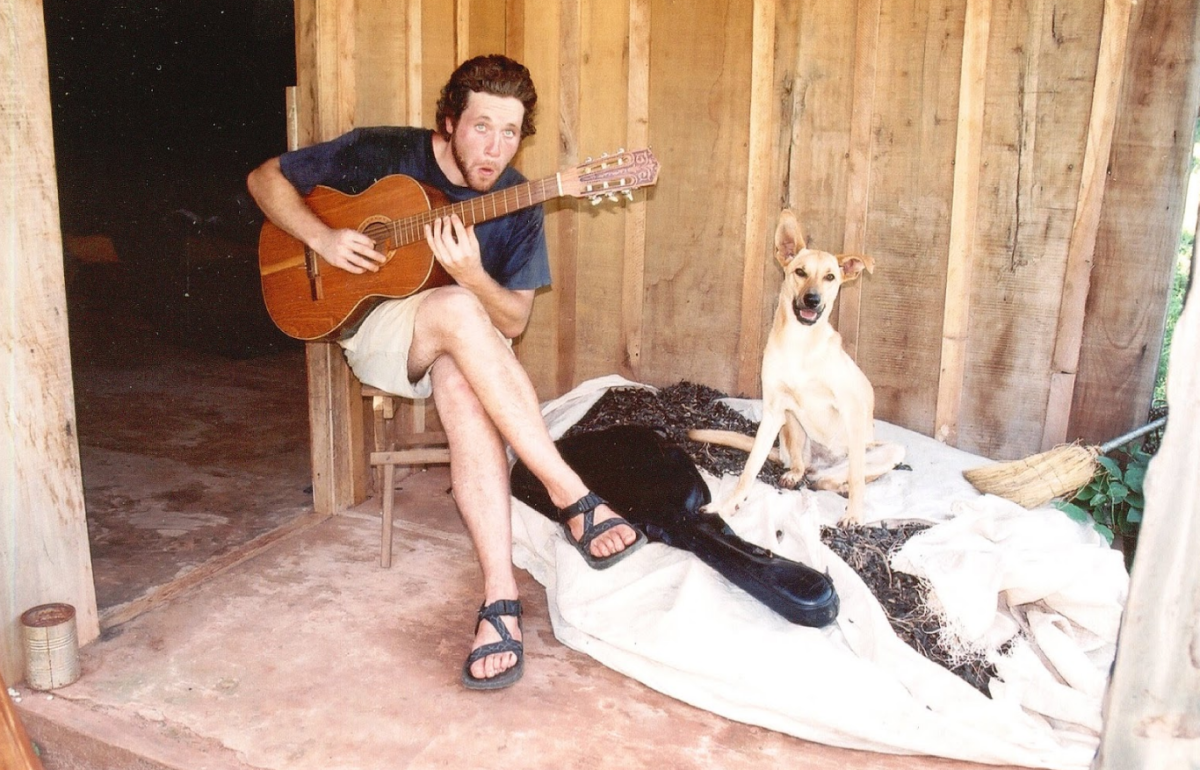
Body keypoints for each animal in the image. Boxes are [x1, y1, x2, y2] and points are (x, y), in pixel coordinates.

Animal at [691, 208, 902, 522]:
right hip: (790, 423)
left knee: (841, 477)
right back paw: (795, 474)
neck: (800, 345)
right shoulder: (773, 410)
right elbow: (749, 469)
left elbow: (857, 478)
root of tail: (823, 465)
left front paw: (854, 515)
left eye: (830, 277)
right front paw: (727, 505)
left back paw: (838, 487)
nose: (812, 300)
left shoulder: (852, 409)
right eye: (800, 272)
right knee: (803, 468)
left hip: (888, 450)